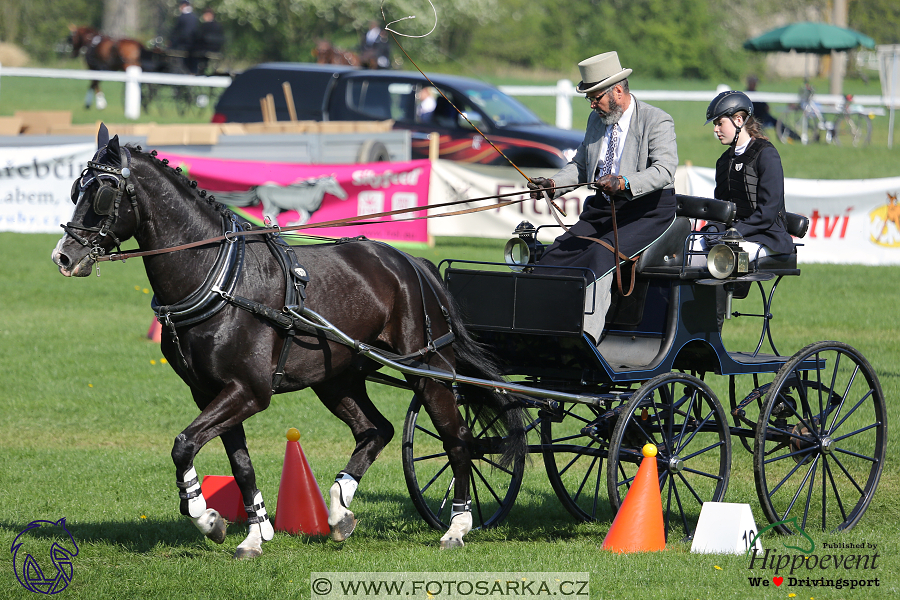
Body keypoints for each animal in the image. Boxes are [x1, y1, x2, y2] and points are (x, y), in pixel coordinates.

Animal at [51, 126, 528, 556]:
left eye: (103, 192)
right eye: (77, 187)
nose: (63, 257)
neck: (221, 276)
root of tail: (412, 263)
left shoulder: (249, 391)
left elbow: (183, 444)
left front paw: (206, 516)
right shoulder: (211, 391)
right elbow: (240, 465)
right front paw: (253, 532)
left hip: (428, 370)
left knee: (458, 439)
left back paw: (457, 526)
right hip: (337, 379)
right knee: (376, 429)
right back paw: (338, 510)